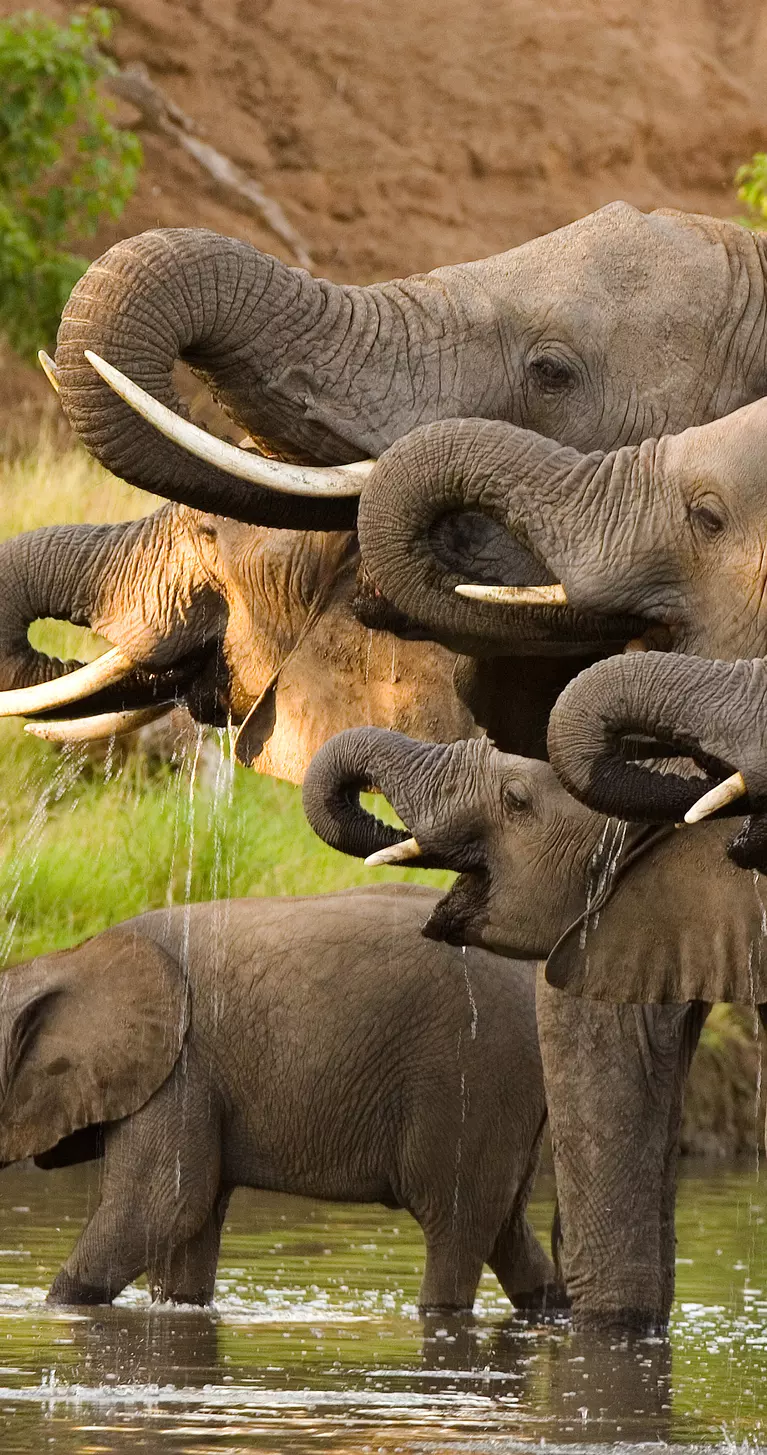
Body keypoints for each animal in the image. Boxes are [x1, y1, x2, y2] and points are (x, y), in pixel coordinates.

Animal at [0, 882, 561, 1313]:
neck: (69, 961)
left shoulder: (181, 1071)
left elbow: (158, 1208)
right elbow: (188, 1226)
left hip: (476, 1075)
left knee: (456, 1226)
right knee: (507, 1229)